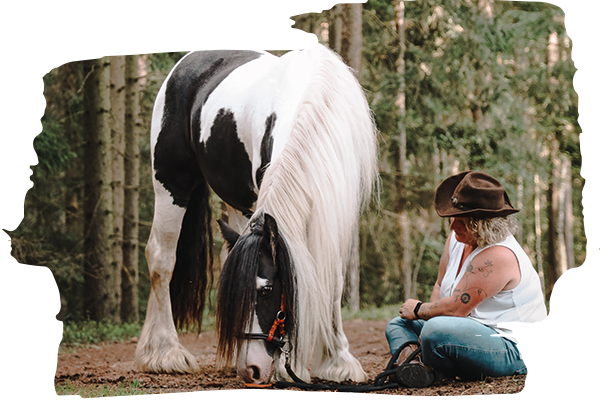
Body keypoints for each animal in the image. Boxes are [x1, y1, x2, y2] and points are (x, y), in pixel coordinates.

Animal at [135, 40, 380, 384]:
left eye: (266, 290)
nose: (251, 370)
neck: (320, 108)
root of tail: (189, 61)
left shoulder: (337, 212)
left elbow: (330, 278)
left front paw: (338, 361)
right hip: (171, 183)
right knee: (161, 258)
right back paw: (164, 353)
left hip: (238, 202)